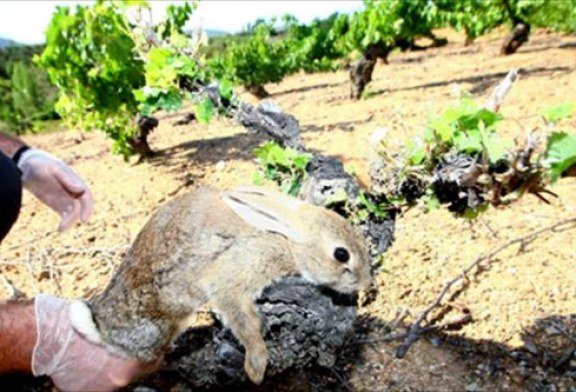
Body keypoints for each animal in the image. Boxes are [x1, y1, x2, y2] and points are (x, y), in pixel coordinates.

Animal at [68, 185, 374, 384]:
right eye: (341, 254)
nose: (365, 283)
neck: (286, 239)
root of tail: (100, 324)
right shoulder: (234, 275)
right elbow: (242, 319)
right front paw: (256, 367)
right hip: (157, 324)